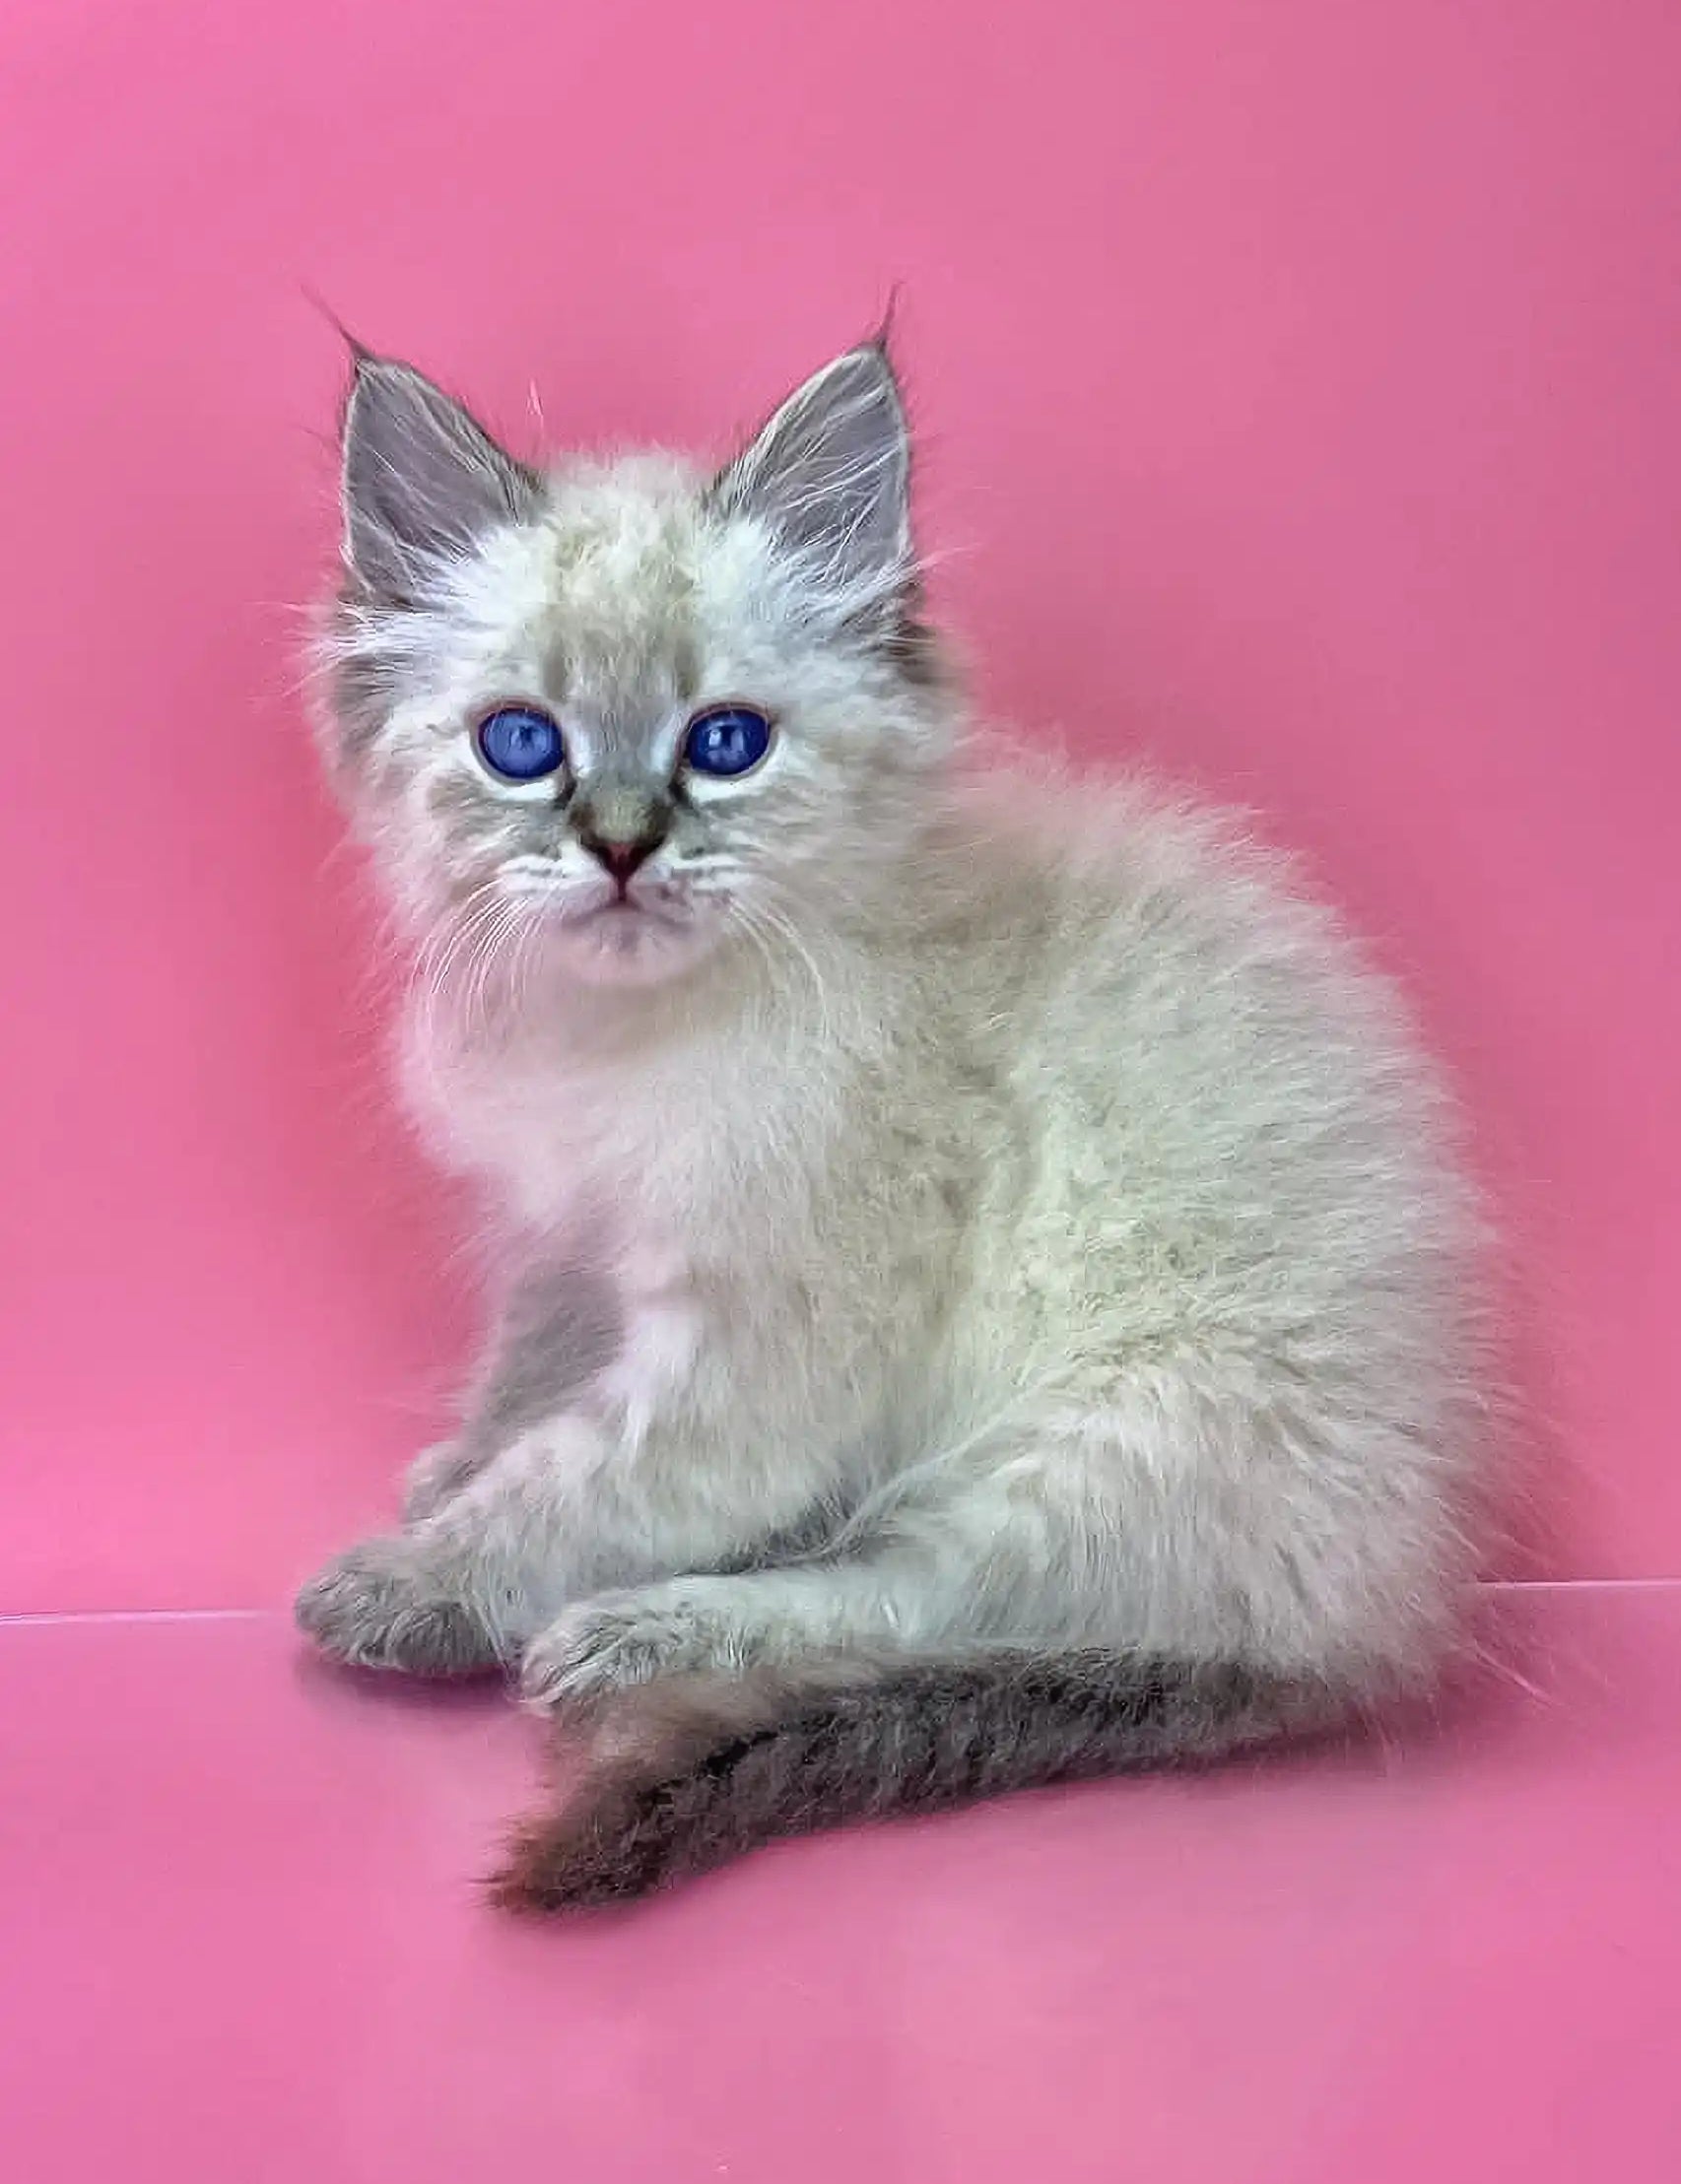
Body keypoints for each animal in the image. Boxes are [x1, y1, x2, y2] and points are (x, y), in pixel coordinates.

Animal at [295, 331, 1484, 1904]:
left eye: (724, 743)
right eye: (521, 744)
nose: (618, 849)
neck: (628, 1039)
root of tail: (1377, 1616)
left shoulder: (759, 1341)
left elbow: (583, 1477)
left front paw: (418, 1576)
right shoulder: (569, 1234)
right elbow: (529, 1381)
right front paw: (451, 1473)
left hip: (1095, 1437)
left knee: (915, 1601)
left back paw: (635, 1634)